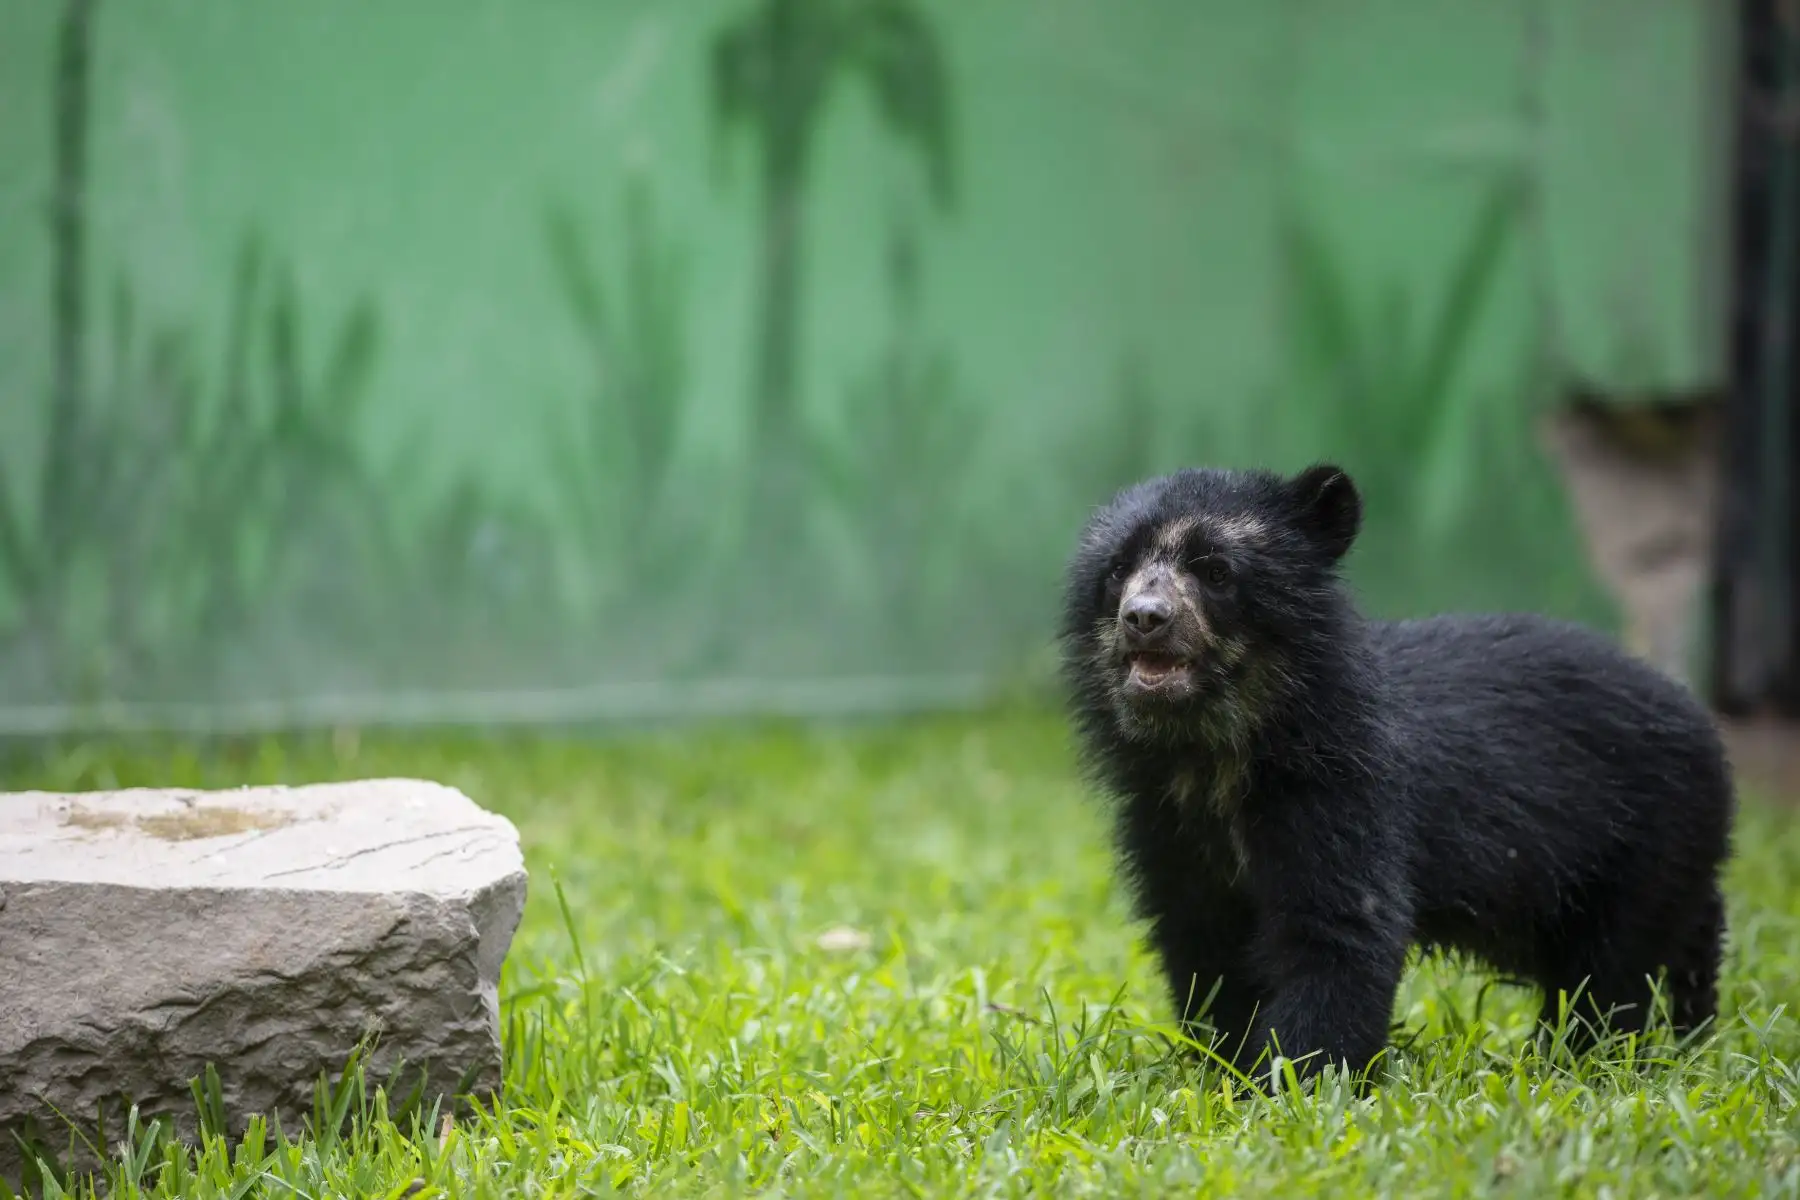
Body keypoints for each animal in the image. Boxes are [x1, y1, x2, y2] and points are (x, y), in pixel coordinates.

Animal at [1059, 461, 1736, 1084]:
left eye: (1217, 571)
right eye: (1117, 570)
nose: (1145, 617)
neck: (1214, 754)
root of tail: (1706, 729)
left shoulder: (1342, 794)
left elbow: (1342, 932)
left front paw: (1292, 1082)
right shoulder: (1166, 824)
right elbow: (1205, 947)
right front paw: (1225, 1068)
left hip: (1645, 842)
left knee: (1612, 969)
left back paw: (1582, 1057)